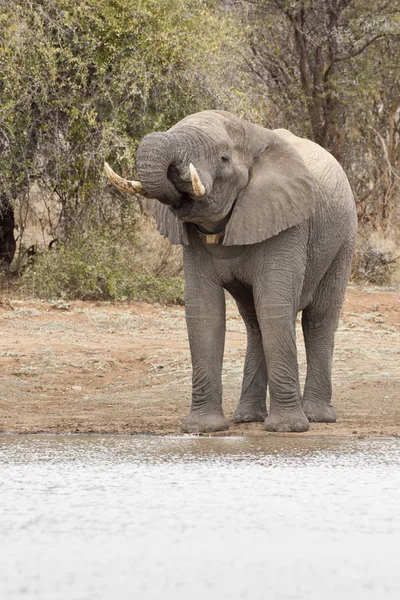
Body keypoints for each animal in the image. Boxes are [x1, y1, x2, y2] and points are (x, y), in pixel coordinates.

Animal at [104, 110, 358, 434]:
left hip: (343, 240)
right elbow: (204, 311)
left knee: (317, 320)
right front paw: (203, 429)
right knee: (255, 323)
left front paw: (287, 429)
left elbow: (274, 305)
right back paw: (248, 418)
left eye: (223, 158)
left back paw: (316, 417)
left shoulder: (288, 223)